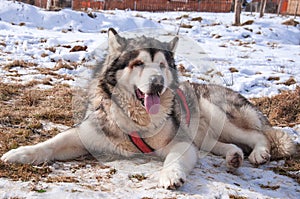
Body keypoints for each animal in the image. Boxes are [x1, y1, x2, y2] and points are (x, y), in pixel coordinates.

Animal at [0, 28, 296, 190]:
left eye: (162, 65)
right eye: (138, 63)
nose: (157, 82)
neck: (136, 120)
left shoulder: (180, 142)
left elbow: (173, 159)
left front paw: (171, 176)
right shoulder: (87, 134)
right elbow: (51, 143)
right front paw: (21, 153)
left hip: (216, 112)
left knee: (259, 135)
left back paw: (258, 153)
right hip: (205, 131)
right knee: (221, 145)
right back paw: (234, 156)